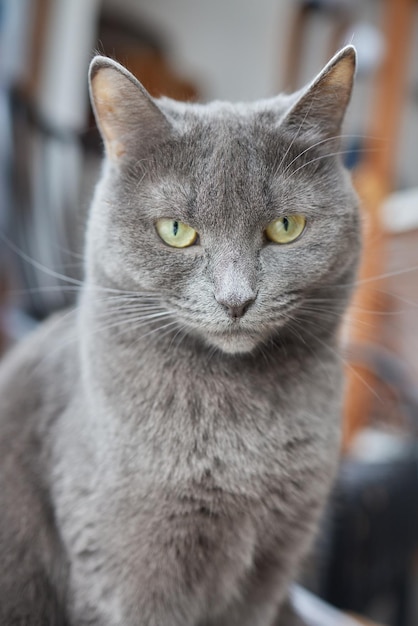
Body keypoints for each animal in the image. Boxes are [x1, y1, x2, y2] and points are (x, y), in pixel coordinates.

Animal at [0, 46, 360, 620]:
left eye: (285, 227)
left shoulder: (272, 569)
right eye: (176, 232)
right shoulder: (122, 573)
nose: (236, 300)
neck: (240, 429)